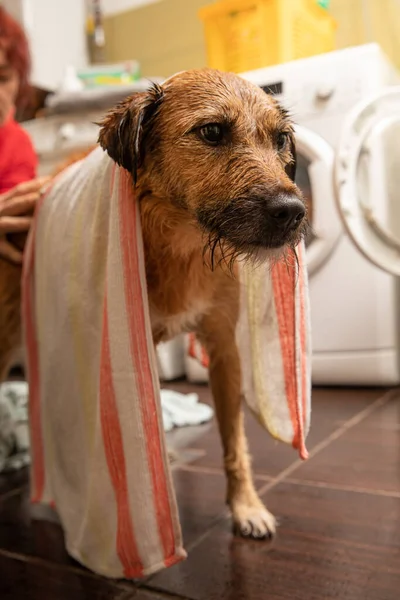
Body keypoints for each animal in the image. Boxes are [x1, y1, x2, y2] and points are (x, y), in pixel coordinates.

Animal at [0, 68, 306, 540]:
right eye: (212, 131)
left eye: (281, 140)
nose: (293, 212)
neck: (182, 246)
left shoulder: (223, 350)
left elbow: (234, 441)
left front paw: (245, 506)